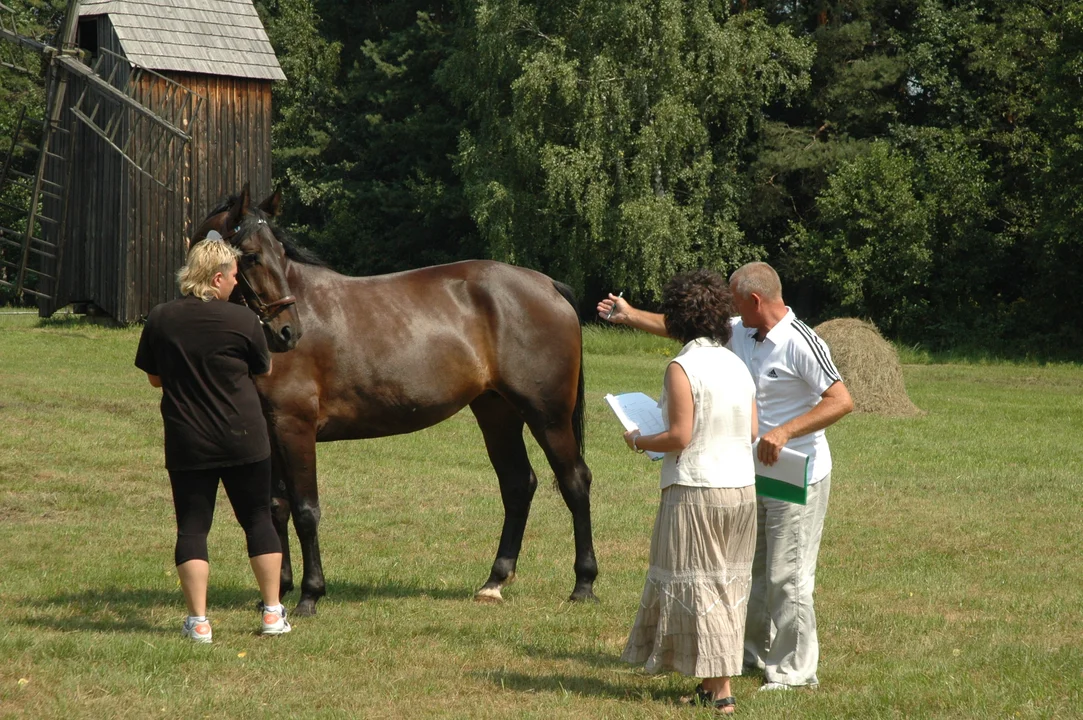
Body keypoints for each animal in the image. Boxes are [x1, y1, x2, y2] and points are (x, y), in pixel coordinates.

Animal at [196, 185, 602, 610]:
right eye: (251, 255)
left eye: (279, 250)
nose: (288, 332)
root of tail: (548, 285)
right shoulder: (273, 431)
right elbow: (278, 508)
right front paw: (277, 590)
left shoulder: (296, 427)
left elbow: (306, 510)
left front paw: (310, 594)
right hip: (497, 413)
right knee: (518, 484)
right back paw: (495, 580)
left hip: (548, 415)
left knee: (575, 482)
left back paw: (584, 583)